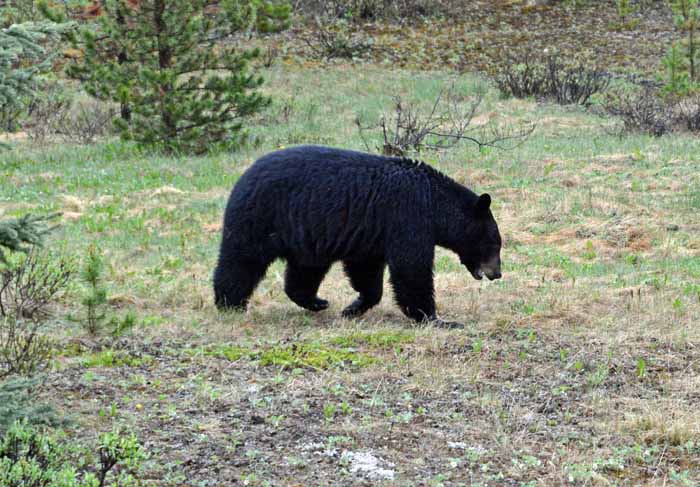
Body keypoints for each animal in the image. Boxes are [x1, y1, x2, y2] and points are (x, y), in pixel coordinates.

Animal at [211, 147, 500, 326]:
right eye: (495, 244)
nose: (497, 273)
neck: (434, 204)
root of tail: (243, 177)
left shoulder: (371, 234)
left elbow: (366, 270)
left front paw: (352, 308)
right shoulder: (407, 217)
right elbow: (411, 268)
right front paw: (434, 318)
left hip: (307, 236)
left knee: (304, 271)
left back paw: (316, 302)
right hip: (260, 217)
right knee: (242, 261)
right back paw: (230, 303)